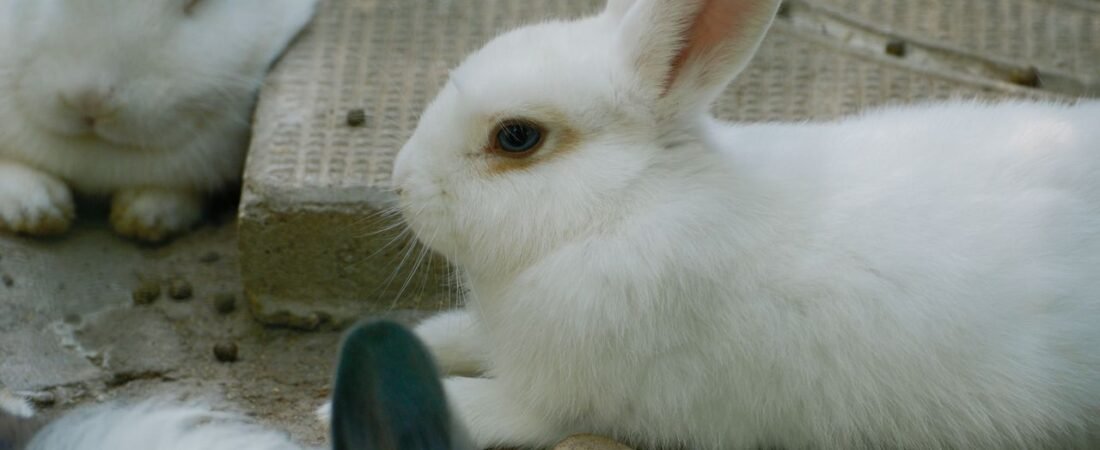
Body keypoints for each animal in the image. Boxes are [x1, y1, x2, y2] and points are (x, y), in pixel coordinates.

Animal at [386, 0, 1100, 448]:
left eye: (516, 137)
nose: (399, 182)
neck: (623, 205)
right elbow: (463, 339)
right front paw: (425, 337)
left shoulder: (562, 402)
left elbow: (486, 410)